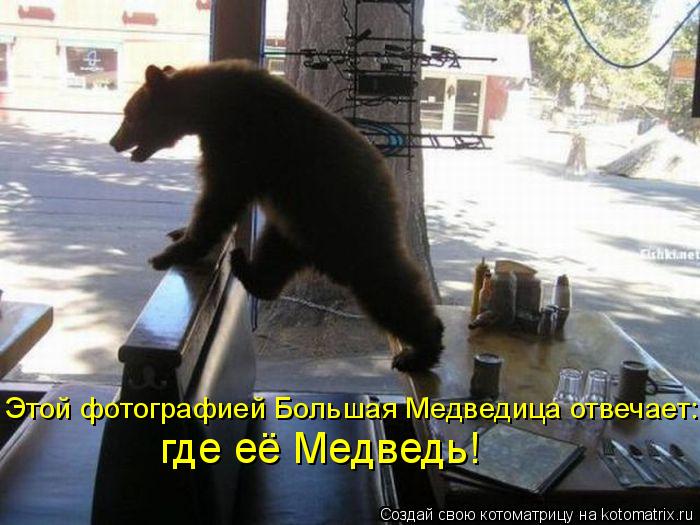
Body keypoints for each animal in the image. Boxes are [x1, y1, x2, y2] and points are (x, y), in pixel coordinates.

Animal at [109, 60, 443, 372]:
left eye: (128, 115)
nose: (114, 142)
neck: (209, 107)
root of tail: (392, 189)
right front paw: (179, 232)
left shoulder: (239, 142)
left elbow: (219, 198)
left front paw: (169, 253)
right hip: (293, 225)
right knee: (274, 254)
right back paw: (248, 269)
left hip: (350, 220)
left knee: (385, 282)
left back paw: (422, 349)